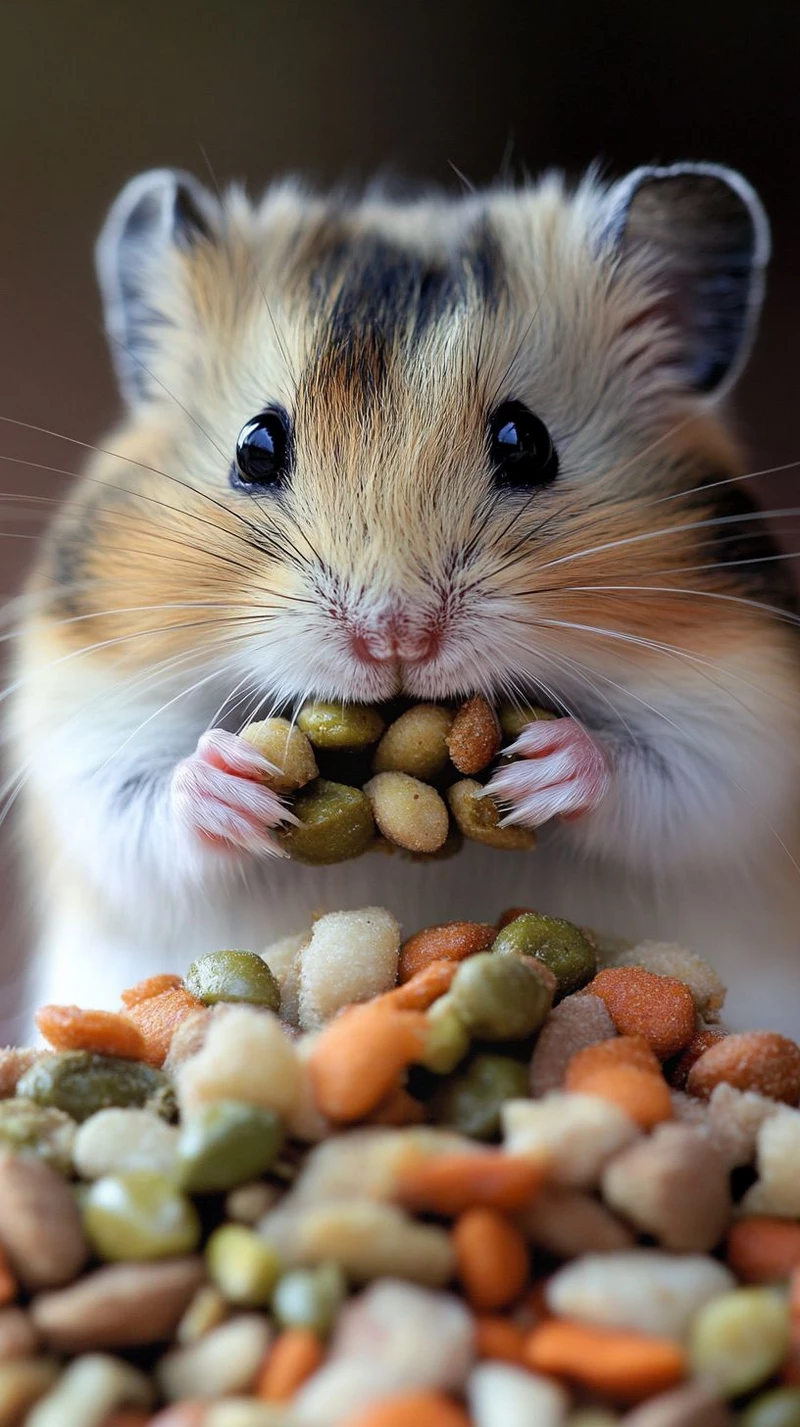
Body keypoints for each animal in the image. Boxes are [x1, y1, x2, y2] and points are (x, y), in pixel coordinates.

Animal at [9, 162, 800, 1035]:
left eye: (525, 441)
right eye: (256, 446)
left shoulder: (746, 720)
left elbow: (675, 778)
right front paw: (233, 776)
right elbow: (136, 800)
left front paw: (536, 773)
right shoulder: (82, 720)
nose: (395, 637)